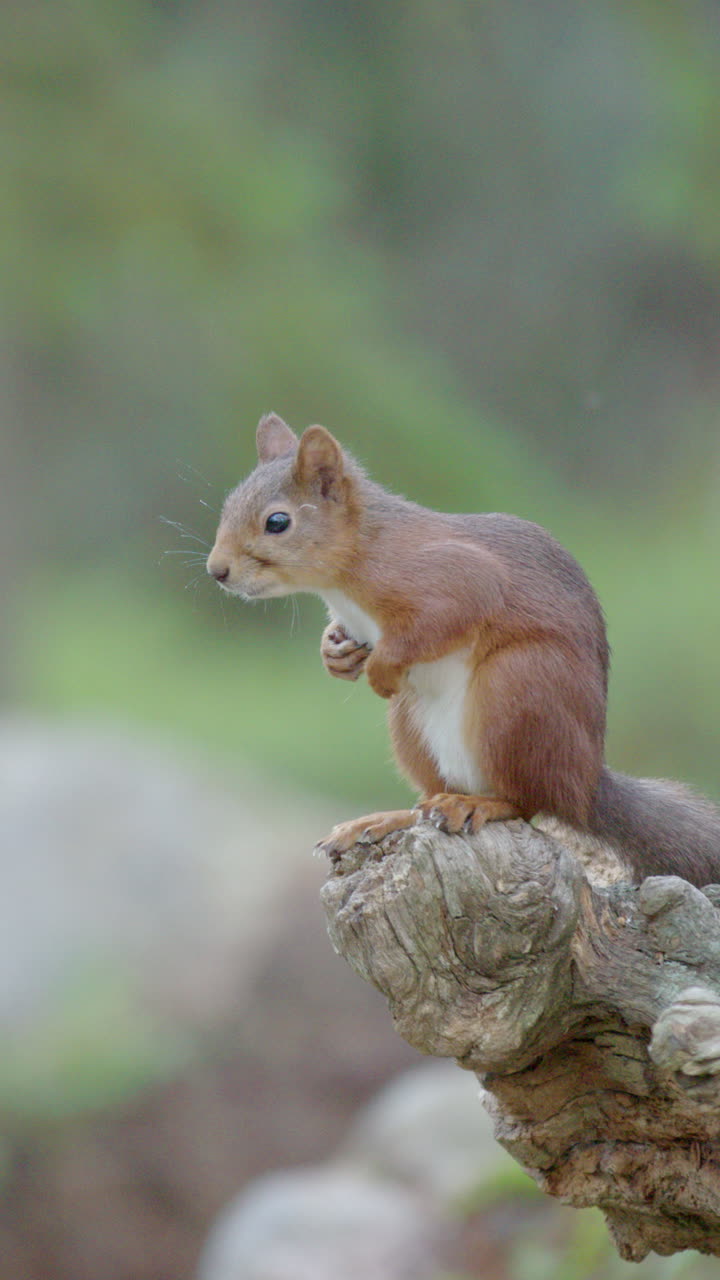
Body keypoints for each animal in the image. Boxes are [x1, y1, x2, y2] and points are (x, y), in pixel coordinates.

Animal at [206, 412, 720, 887]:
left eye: (278, 522)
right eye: (228, 506)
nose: (217, 570)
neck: (354, 562)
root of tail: (586, 784)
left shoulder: (453, 577)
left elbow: (445, 616)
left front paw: (381, 667)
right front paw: (335, 653)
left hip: (518, 689)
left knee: (526, 803)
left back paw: (477, 804)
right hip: (413, 725)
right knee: (428, 801)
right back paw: (390, 817)